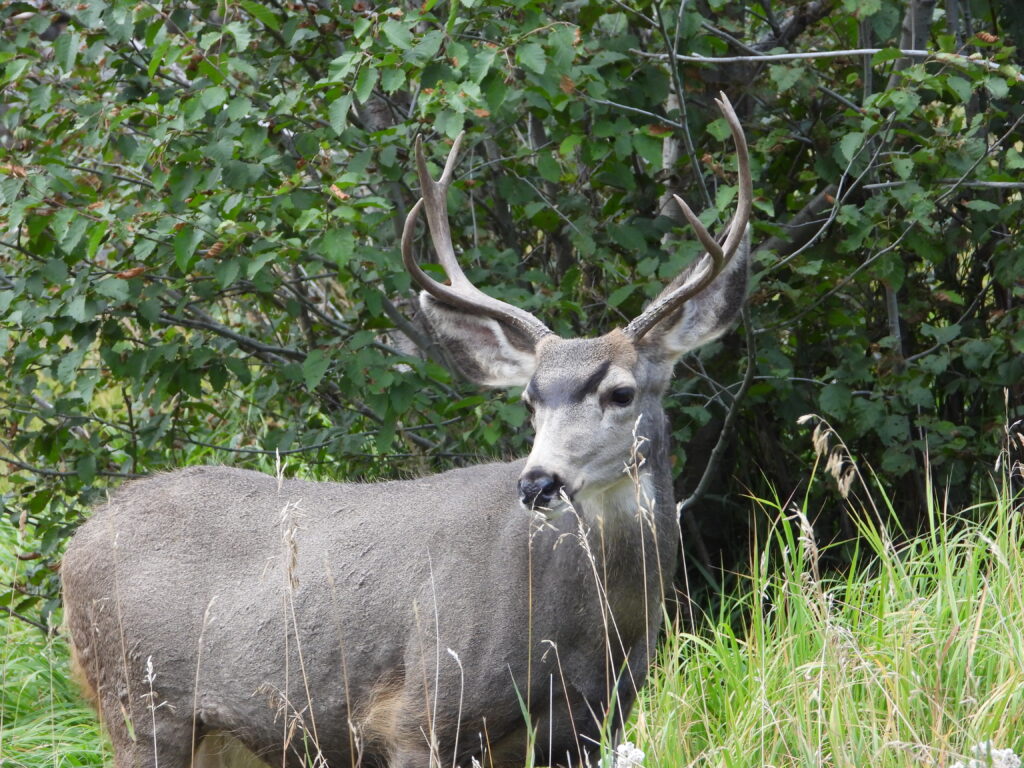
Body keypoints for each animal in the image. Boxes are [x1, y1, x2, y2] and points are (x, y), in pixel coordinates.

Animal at [61, 93, 752, 768]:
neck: (586, 631)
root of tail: (77, 547)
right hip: (141, 703)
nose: (537, 483)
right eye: (529, 400)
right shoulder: (422, 713)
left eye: (621, 393)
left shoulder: (591, 725)